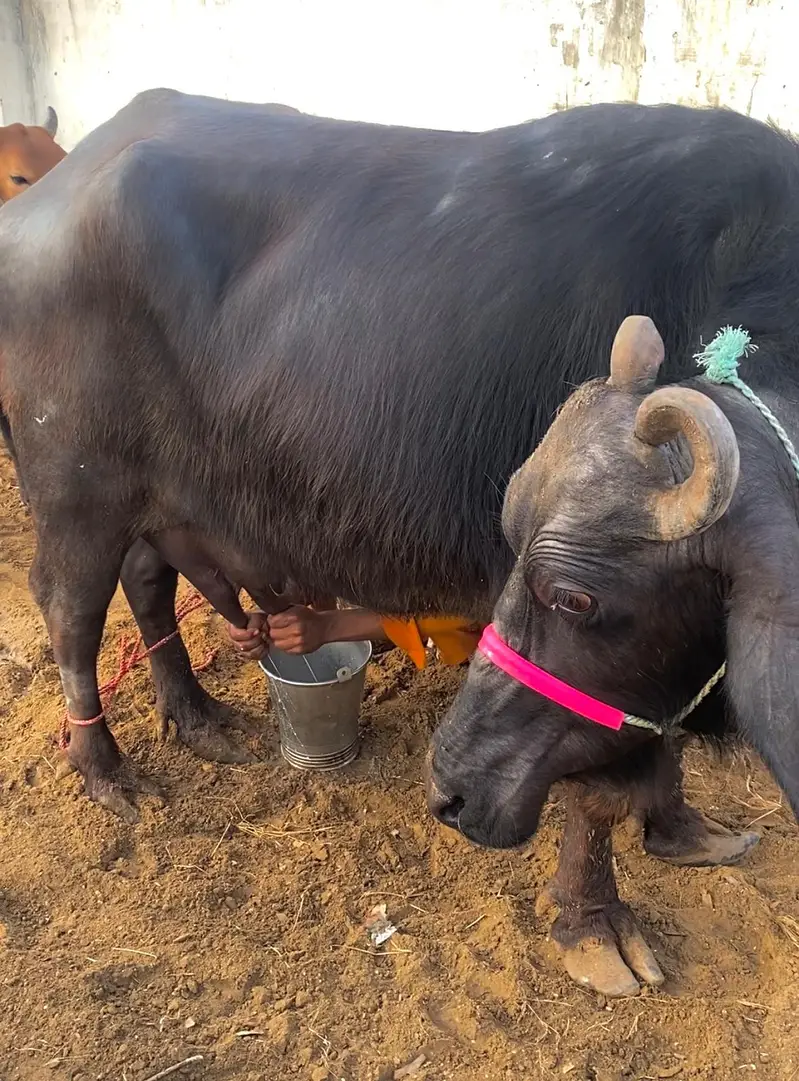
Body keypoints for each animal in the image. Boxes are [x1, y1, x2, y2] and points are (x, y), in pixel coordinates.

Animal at [0, 90, 794, 990]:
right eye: (570, 595)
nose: (449, 789)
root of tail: (51, 193)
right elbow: (594, 786)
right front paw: (594, 922)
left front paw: (682, 825)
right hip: (77, 492)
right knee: (71, 613)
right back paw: (103, 766)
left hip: (155, 497)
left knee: (147, 581)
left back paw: (198, 715)